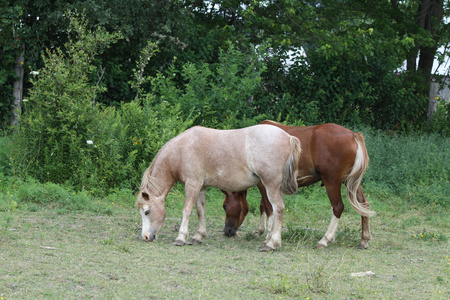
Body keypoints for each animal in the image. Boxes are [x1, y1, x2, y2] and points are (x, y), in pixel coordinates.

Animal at [134, 124, 302, 251]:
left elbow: (187, 210)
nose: (146, 237)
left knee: (278, 208)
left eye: (147, 212)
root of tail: (288, 137)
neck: (181, 150)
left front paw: (181, 238)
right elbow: (200, 210)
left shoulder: (192, 184)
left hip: (270, 184)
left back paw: (272, 243)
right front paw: (198, 236)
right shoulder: (201, 186)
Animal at [223, 120, 374, 250]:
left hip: (332, 181)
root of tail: (352, 135)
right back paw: (364, 239)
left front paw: (268, 236)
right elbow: (264, 207)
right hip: (350, 181)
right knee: (364, 204)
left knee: (338, 207)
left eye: (224, 206)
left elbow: (268, 207)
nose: (227, 231)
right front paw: (262, 231)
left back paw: (325, 239)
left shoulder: (264, 184)